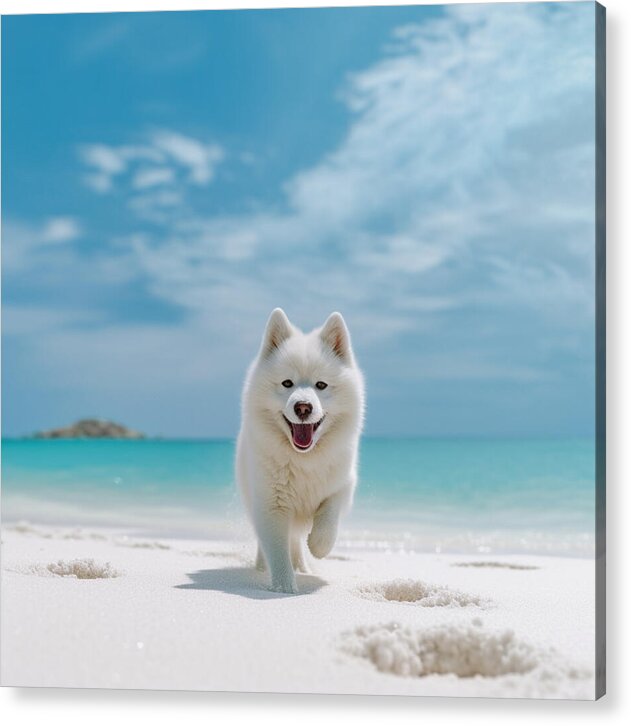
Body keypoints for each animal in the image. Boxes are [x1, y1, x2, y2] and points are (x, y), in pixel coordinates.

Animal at [237, 310, 366, 596]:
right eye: (287, 383)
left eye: (321, 385)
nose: (303, 407)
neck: (304, 459)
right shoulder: (271, 505)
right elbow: (277, 550)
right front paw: (284, 586)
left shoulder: (343, 484)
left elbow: (329, 515)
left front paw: (318, 545)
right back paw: (263, 567)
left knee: (295, 540)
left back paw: (304, 566)